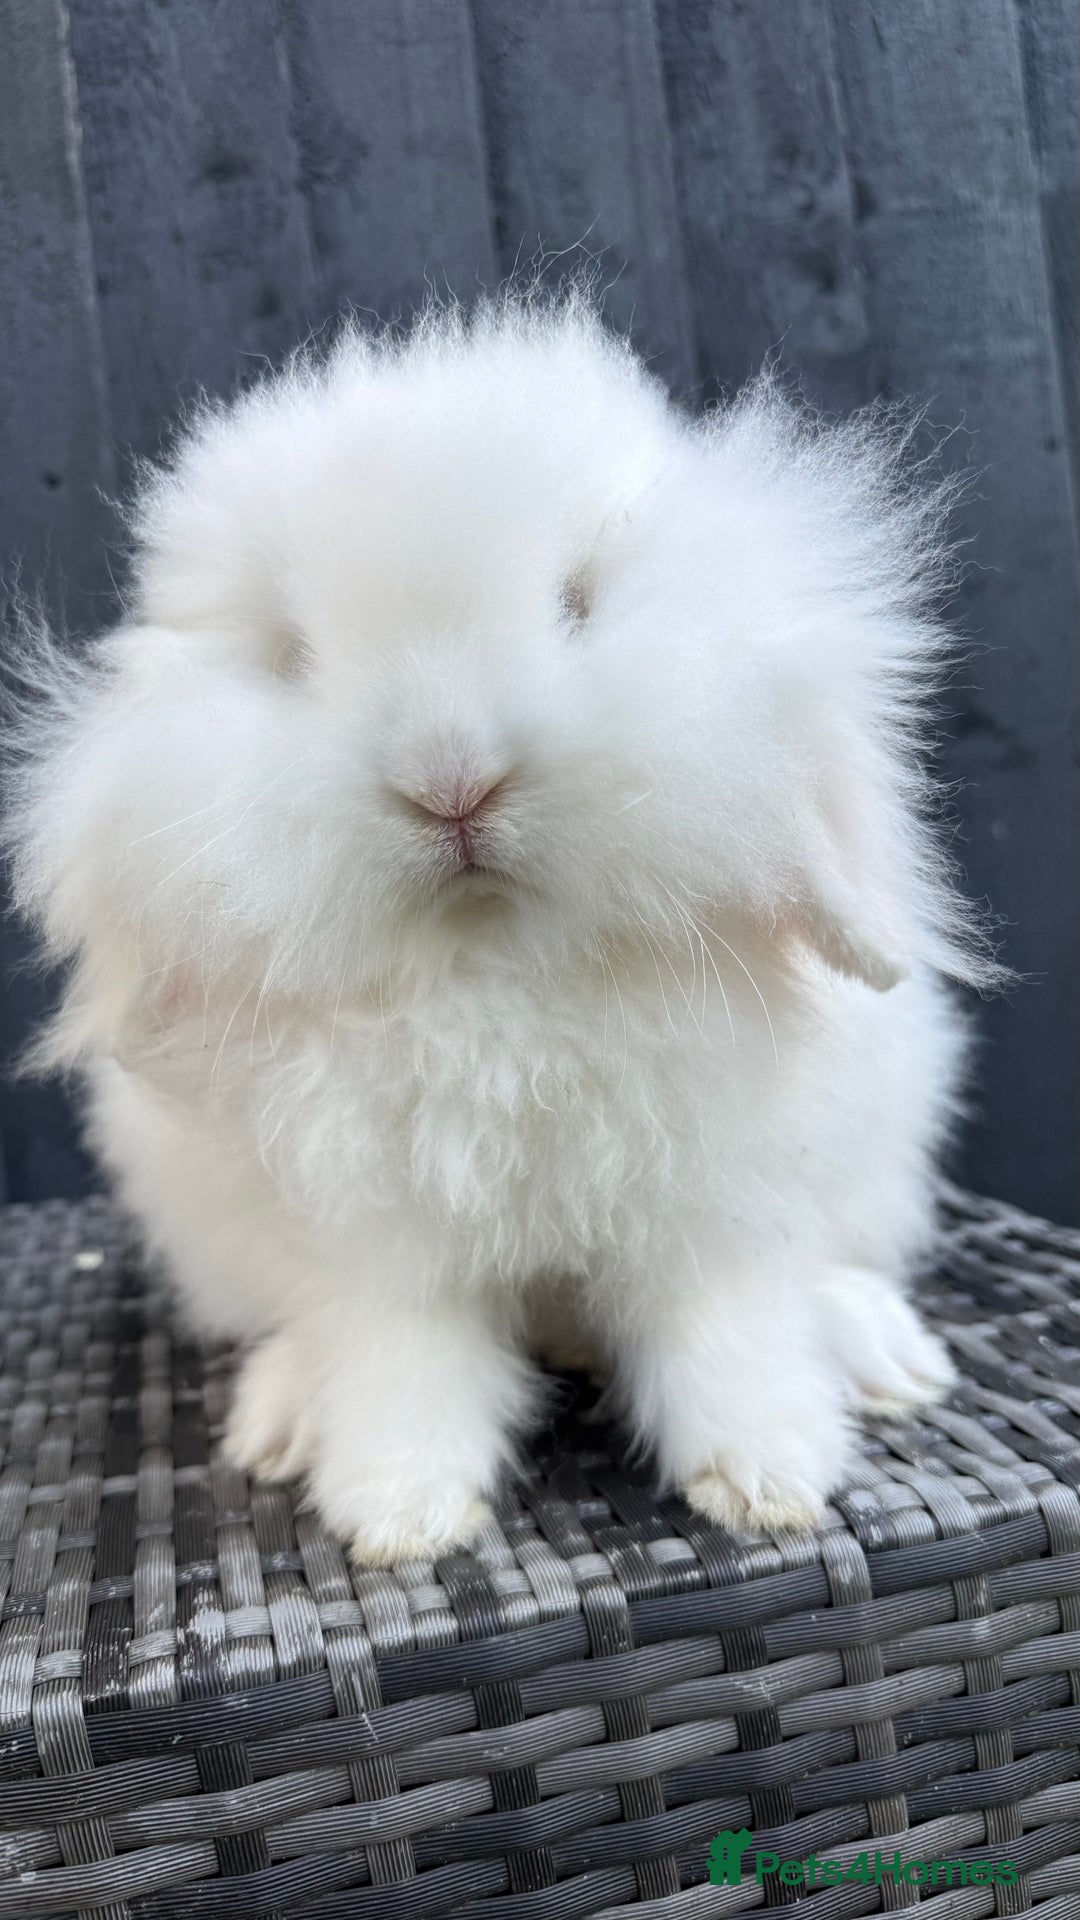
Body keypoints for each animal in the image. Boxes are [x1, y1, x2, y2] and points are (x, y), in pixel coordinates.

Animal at [7, 292, 993, 1563]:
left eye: (577, 600)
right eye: (292, 655)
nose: (449, 781)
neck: (496, 970)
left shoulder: (710, 1207)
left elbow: (725, 1334)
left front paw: (770, 1480)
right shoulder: (384, 1244)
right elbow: (406, 1361)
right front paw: (401, 1518)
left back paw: (883, 1358)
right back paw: (282, 1422)